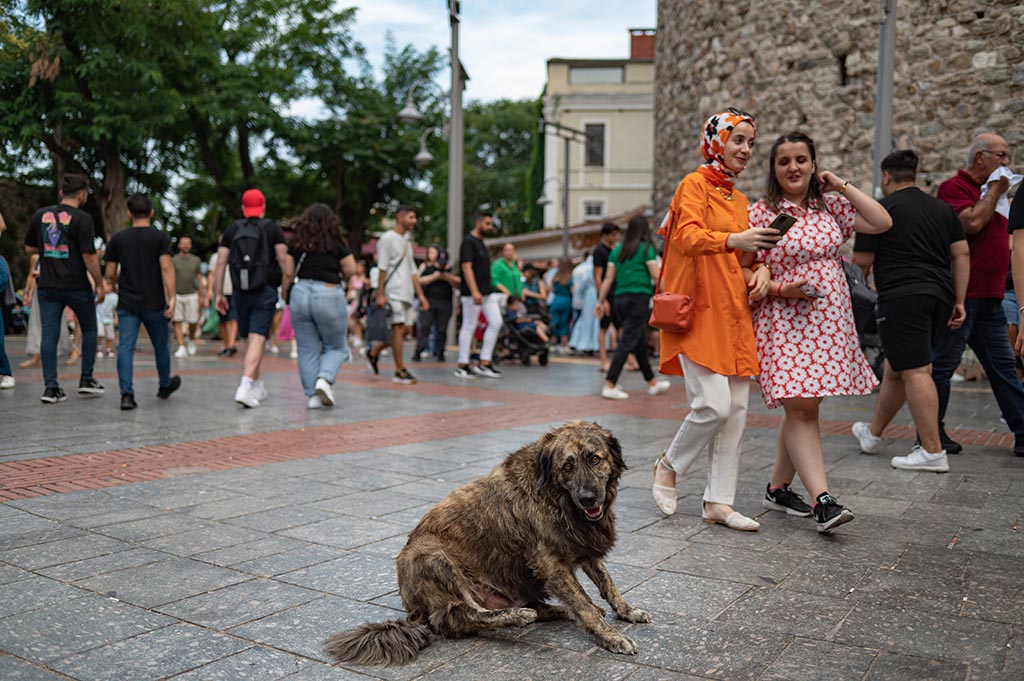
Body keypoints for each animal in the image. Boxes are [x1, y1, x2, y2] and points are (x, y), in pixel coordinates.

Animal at [323, 419, 651, 663]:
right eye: (566, 466)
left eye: (595, 459)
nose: (588, 498)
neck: (554, 496)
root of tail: (413, 612)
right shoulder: (552, 564)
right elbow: (583, 603)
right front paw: (612, 636)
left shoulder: (583, 545)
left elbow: (607, 583)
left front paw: (626, 610)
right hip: (431, 556)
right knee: (465, 616)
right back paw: (517, 616)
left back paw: (552, 610)